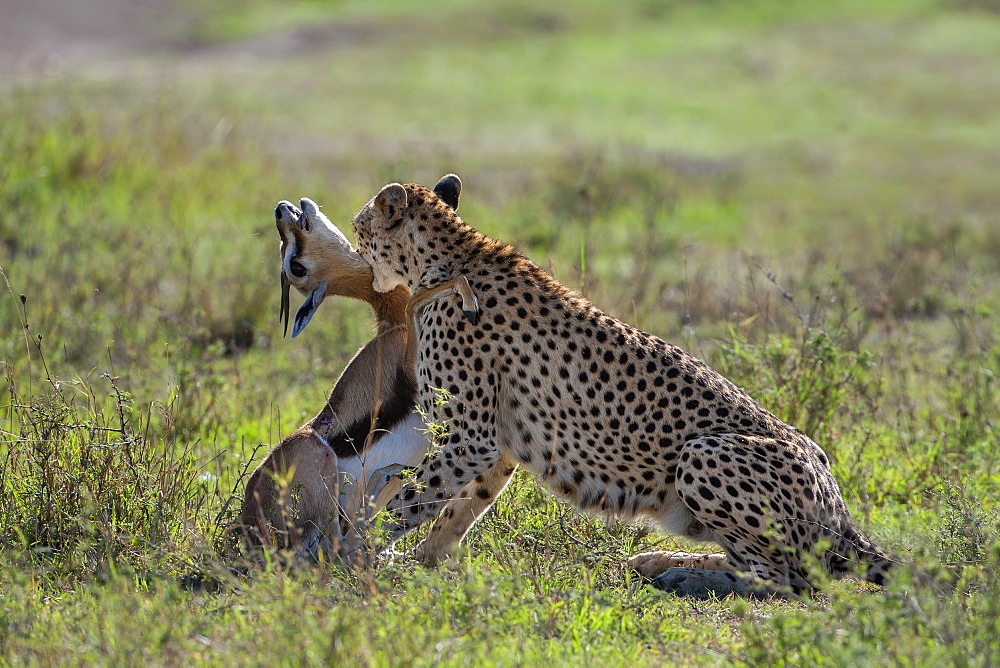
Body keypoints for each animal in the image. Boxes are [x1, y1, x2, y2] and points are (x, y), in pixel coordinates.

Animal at [348, 175, 896, 596]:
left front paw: (356, 552)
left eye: (359, 226)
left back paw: (681, 575)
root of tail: (840, 510)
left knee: (790, 581)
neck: (444, 258)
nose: (354, 249)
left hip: (703, 453)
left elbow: (407, 500)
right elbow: (455, 509)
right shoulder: (496, 444)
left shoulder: (470, 437)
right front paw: (418, 559)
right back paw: (657, 560)